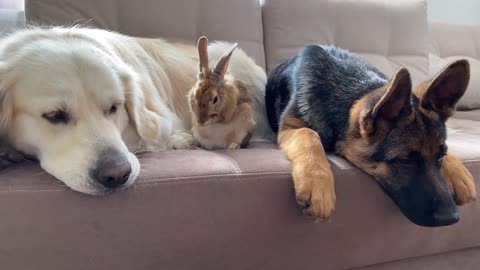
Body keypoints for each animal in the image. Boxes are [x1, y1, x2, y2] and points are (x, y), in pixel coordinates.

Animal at [0, 27, 270, 195]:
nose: (117, 175)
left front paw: (181, 140)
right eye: (54, 115)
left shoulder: (160, 120)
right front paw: (7, 152)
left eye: (114, 107)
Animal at [266, 45, 476, 227]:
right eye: (404, 160)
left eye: (441, 155)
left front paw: (458, 172)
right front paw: (317, 182)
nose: (452, 218)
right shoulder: (289, 128)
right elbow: (308, 133)